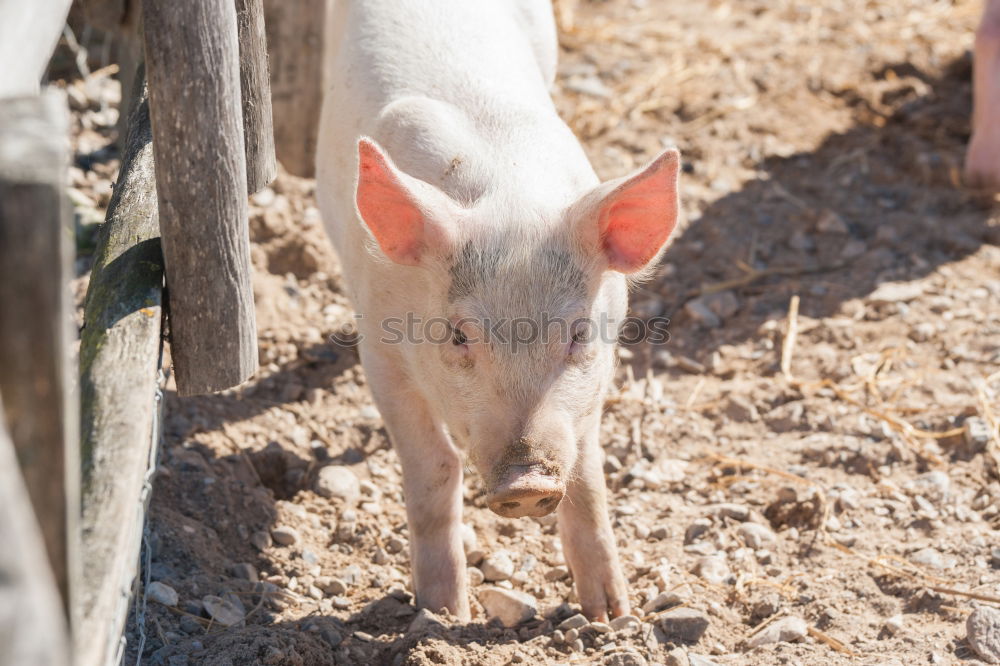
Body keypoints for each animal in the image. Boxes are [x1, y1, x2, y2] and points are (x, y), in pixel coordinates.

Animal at [318, 1, 680, 624]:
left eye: (578, 333)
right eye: (459, 336)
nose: (527, 481)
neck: (508, 195)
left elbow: (588, 475)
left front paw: (611, 615)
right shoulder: (379, 350)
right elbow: (434, 467)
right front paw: (443, 615)